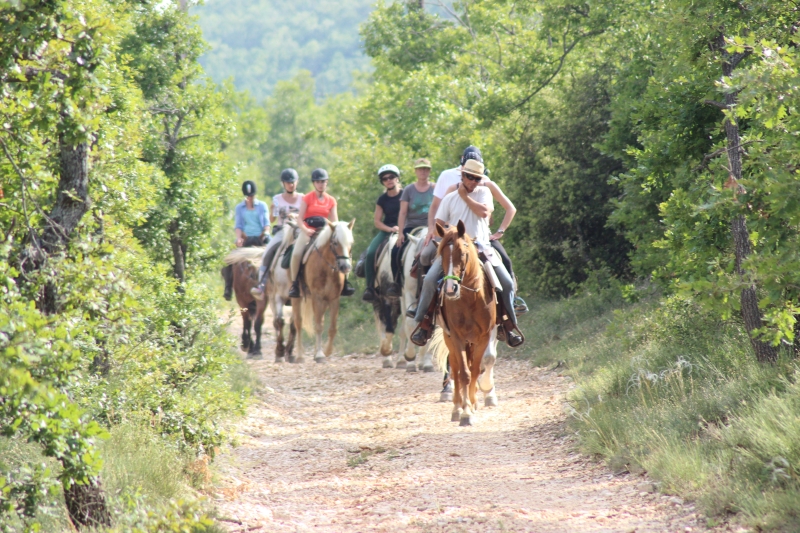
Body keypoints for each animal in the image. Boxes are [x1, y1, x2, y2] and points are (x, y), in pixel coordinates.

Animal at [292, 219, 354, 362]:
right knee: (298, 323)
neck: (327, 268)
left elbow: (332, 327)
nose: (346, 267)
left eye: (351, 243)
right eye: (335, 242)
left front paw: (326, 351)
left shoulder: (334, 299)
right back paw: (300, 355)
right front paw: (320, 354)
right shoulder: (317, 297)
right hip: (297, 298)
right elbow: (319, 326)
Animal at [432, 219, 494, 424]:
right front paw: (465, 412)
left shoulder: (484, 337)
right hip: (450, 340)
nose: (450, 289)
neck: (469, 299)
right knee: (456, 369)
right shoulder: (457, 337)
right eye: (441, 255)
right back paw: (457, 407)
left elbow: (475, 370)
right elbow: (464, 373)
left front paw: (472, 405)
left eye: (463, 254)